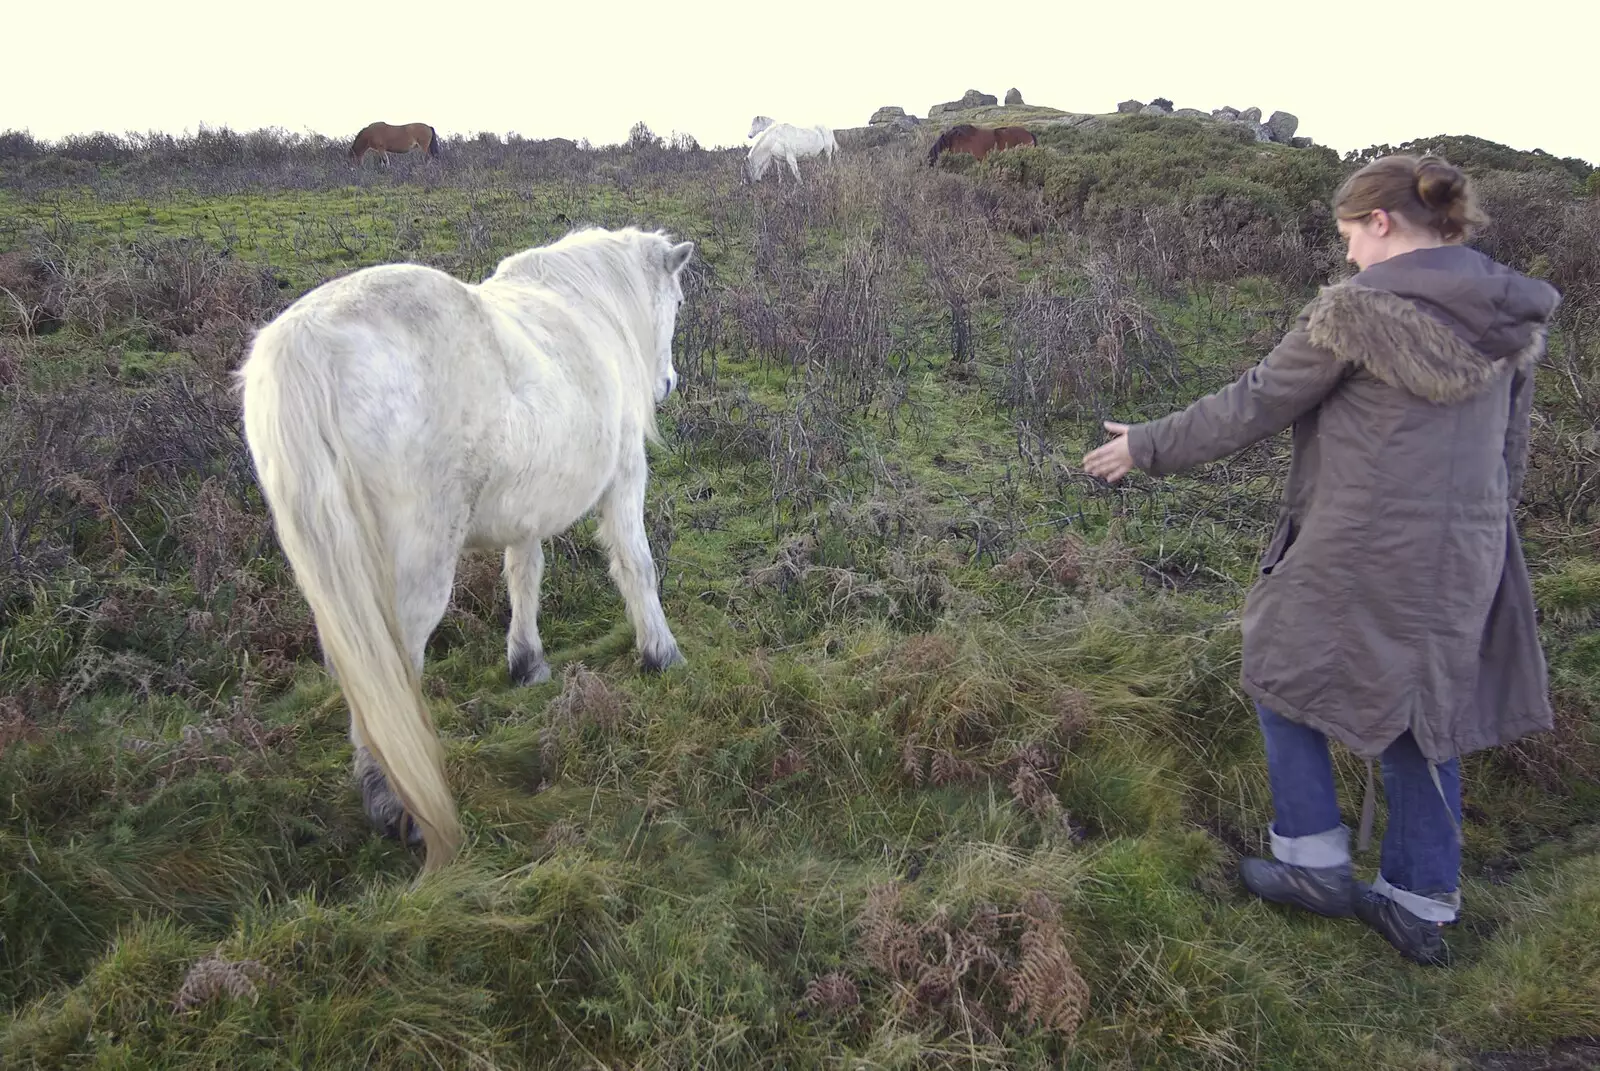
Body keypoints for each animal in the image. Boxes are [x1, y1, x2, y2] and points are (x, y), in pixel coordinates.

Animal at [236, 224, 694, 870]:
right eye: (676, 302)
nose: (668, 383)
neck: (591, 310)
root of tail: (309, 343)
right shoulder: (626, 475)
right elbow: (637, 566)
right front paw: (661, 653)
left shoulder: (526, 513)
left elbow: (524, 573)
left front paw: (527, 663)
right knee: (393, 670)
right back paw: (397, 806)